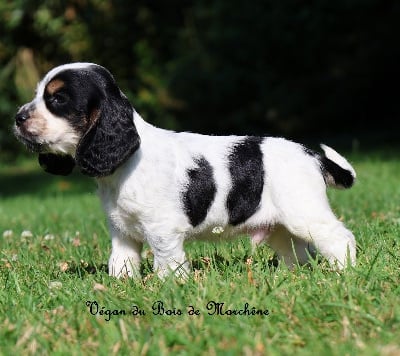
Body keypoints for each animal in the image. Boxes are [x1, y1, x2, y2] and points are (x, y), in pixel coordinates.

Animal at [13, 63, 356, 278]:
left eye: (58, 99)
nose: (18, 117)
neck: (126, 164)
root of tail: (311, 155)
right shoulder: (122, 231)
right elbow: (122, 262)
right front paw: (121, 287)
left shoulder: (163, 230)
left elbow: (167, 263)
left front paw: (168, 287)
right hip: (281, 227)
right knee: (297, 252)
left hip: (306, 214)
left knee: (340, 238)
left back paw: (346, 272)